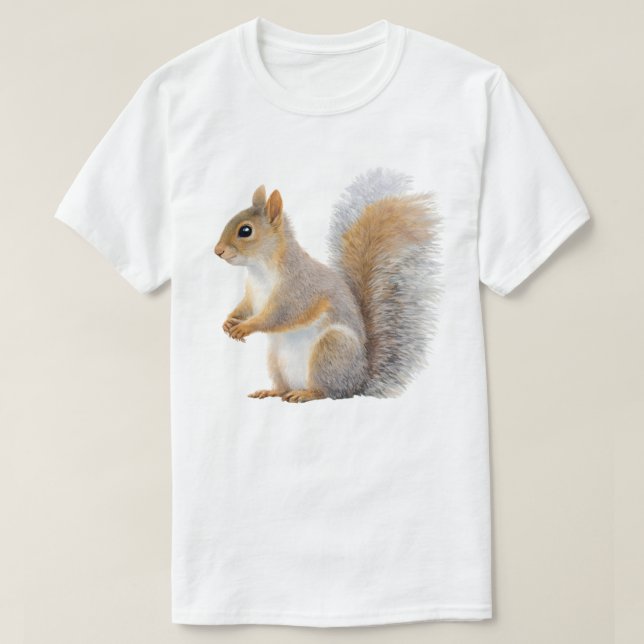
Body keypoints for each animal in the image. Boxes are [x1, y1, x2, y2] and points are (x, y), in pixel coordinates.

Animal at [214, 168, 440, 403]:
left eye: (245, 231)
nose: (217, 251)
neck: (259, 269)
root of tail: (359, 381)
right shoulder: (251, 294)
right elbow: (245, 307)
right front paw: (229, 321)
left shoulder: (299, 290)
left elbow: (277, 316)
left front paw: (245, 327)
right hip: (275, 359)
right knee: (284, 387)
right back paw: (272, 391)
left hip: (331, 349)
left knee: (328, 392)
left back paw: (305, 394)